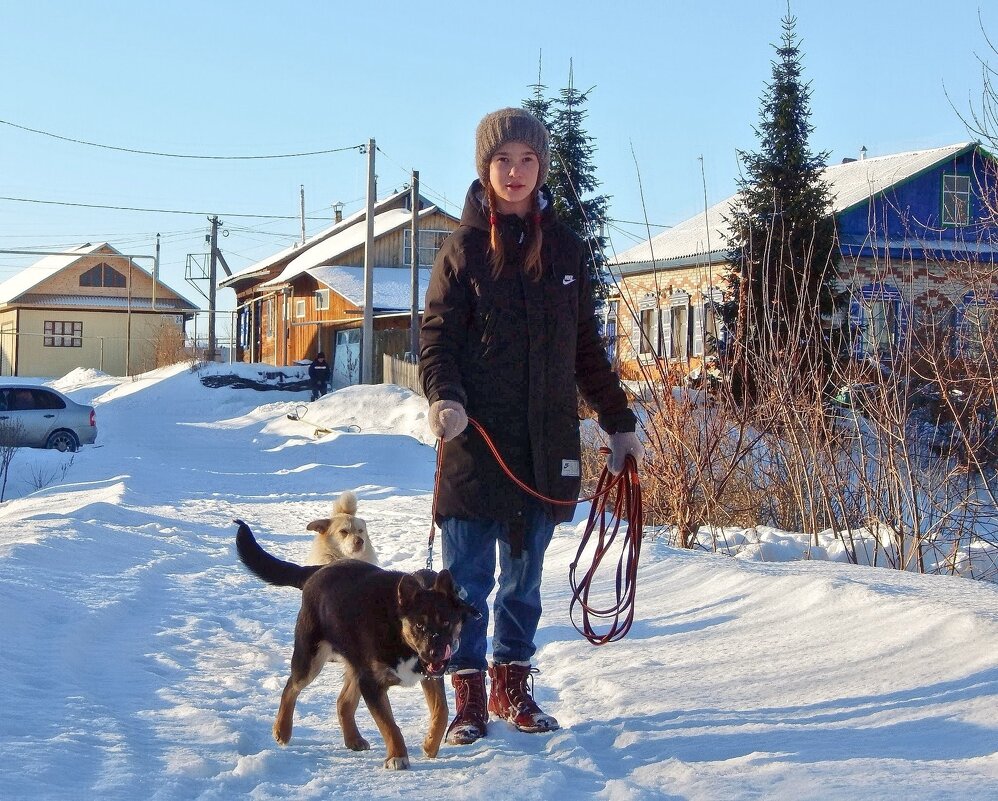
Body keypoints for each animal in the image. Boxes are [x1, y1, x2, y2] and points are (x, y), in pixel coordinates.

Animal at [238, 520, 480, 768]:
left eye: (447, 622)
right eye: (419, 626)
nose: (436, 652)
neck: (397, 630)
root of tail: (318, 570)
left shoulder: (428, 676)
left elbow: (442, 710)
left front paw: (430, 744)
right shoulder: (371, 683)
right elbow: (390, 725)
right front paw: (397, 756)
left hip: (355, 664)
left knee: (342, 703)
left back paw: (353, 739)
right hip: (312, 657)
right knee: (291, 687)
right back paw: (282, 730)